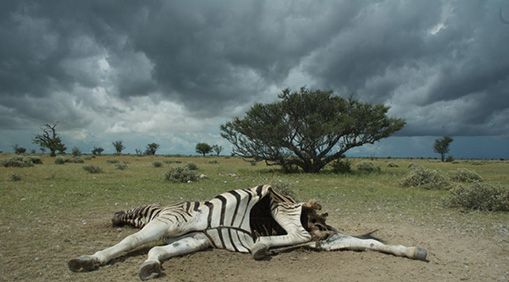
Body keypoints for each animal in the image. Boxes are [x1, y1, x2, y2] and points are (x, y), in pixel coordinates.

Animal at [67, 185, 424, 280]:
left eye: (126, 211)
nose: (114, 217)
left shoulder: (169, 222)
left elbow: (131, 240)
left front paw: (86, 261)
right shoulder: (194, 238)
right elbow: (157, 251)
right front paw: (150, 266)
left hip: (281, 208)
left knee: (300, 235)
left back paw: (261, 245)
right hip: (329, 241)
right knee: (365, 242)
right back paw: (414, 251)